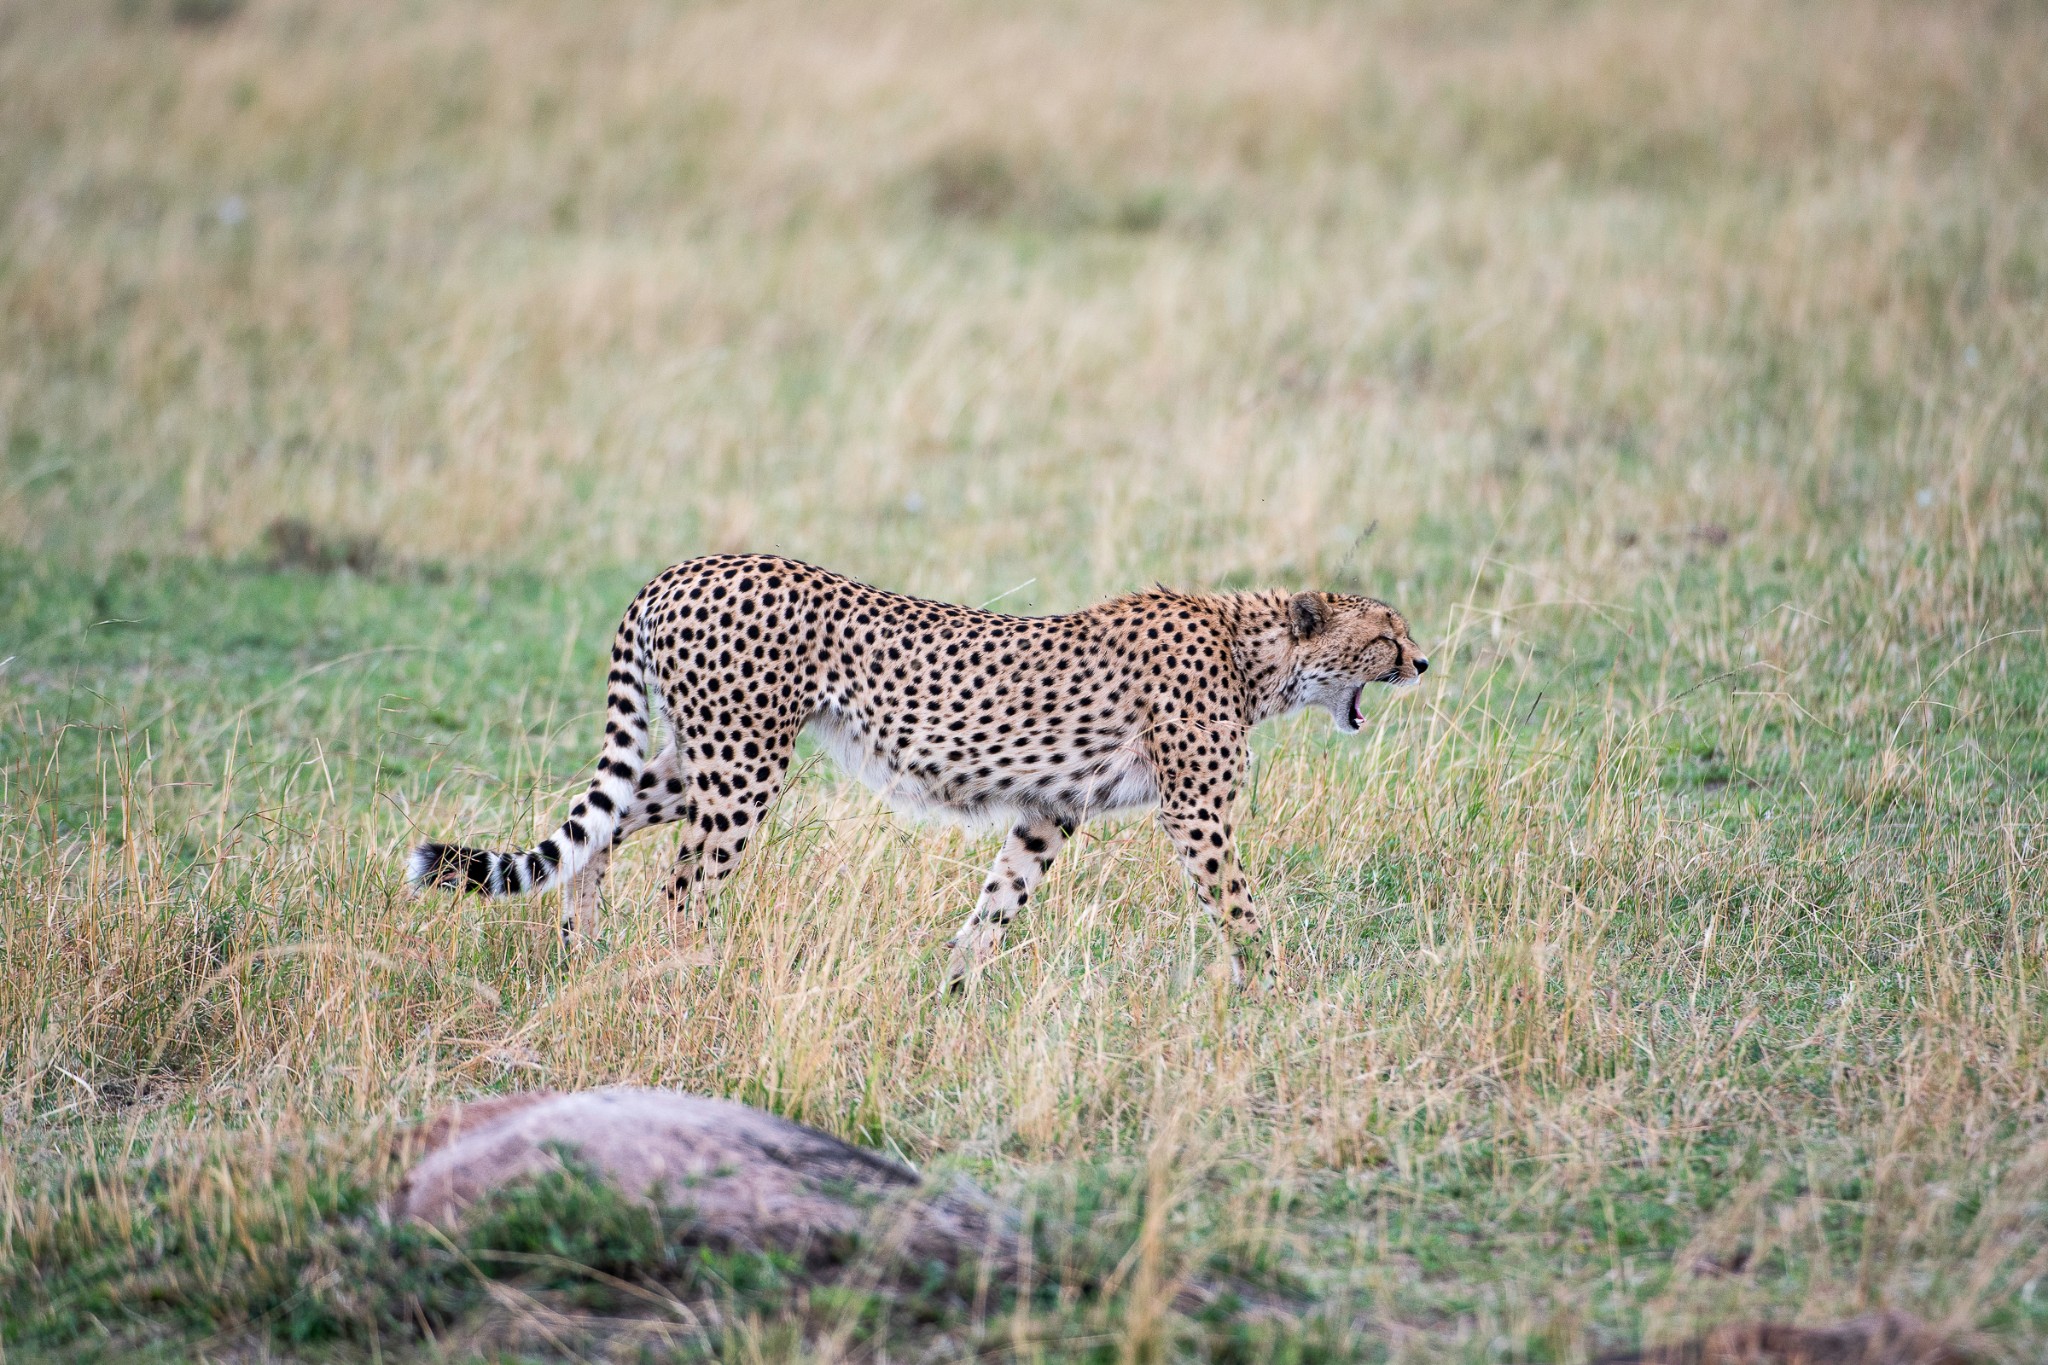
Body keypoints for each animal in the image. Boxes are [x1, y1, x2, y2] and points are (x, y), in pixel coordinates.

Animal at [399, 548, 1425, 986]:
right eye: (1386, 632)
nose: (1423, 659)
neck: (1255, 652)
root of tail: (683, 567)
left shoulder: (1048, 809)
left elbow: (1001, 896)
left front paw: (952, 980)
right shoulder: (1197, 814)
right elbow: (1239, 903)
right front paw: (1281, 983)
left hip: (704, 756)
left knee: (601, 827)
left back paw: (585, 945)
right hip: (743, 764)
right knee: (685, 880)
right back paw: (691, 972)